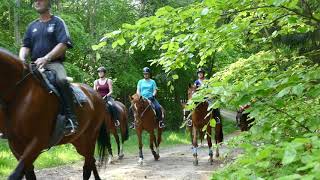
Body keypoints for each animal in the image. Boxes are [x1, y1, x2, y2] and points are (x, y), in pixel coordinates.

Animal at [0, 48, 111, 179]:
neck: (21, 92)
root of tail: (97, 96)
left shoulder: (38, 141)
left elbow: (16, 174)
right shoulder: (15, 145)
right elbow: (28, 173)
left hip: (90, 138)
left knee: (88, 166)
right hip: (79, 141)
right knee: (91, 161)